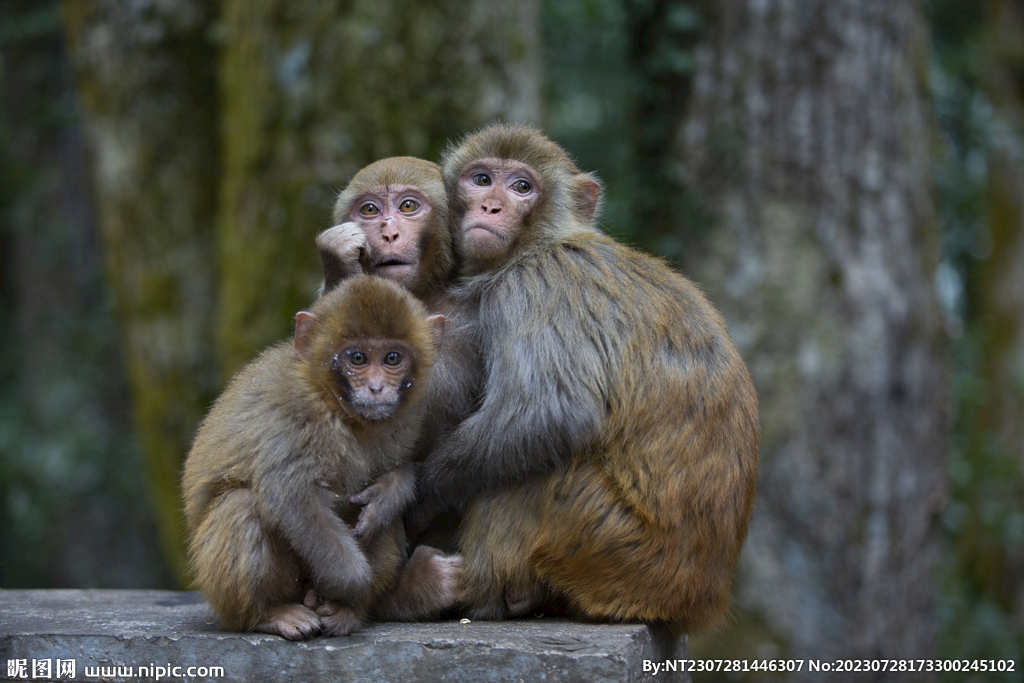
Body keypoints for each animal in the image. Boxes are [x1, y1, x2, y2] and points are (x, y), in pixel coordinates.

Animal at [184, 274, 456, 638]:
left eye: (392, 358)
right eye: (358, 358)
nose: (376, 388)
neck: (334, 403)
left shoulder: (410, 417)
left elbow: (391, 482)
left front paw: (390, 492)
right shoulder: (297, 413)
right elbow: (292, 496)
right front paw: (355, 582)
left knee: (379, 522)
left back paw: (349, 611)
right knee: (240, 505)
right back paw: (268, 614)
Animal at [413, 124, 761, 634]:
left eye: (521, 186)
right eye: (481, 179)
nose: (490, 207)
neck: (542, 242)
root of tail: (698, 598)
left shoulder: (536, 283)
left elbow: (553, 414)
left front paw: (415, 496)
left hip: (615, 549)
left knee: (537, 471)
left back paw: (479, 593)